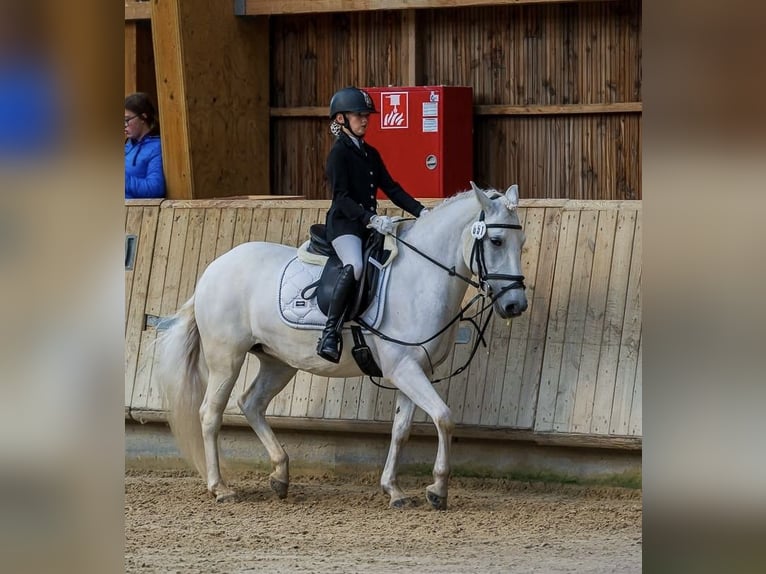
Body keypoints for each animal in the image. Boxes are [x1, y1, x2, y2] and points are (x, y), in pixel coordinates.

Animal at [156, 182, 528, 510]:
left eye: (522, 242)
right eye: (496, 241)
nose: (516, 305)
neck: (420, 277)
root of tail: (212, 270)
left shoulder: (414, 368)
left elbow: (402, 430)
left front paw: (394, 490)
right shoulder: (404, 369)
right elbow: (444, 417)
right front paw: (437, 490)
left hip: (279, 362)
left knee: (251, 403)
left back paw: (280, 475)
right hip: (226, 359)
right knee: (210, 414)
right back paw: (220, 488)